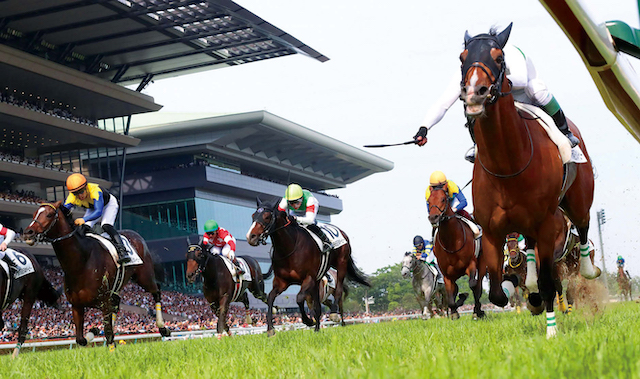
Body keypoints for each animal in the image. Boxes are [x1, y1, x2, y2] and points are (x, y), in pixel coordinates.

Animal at [24, 202, 171, 350]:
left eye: (49, 214)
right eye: (34, 214)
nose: (28, 232)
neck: (81, 263)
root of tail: (136, 235)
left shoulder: (104, 302)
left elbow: (108, 332)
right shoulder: (76, 305)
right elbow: (80, 339)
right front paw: (93, 330)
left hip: (144, 277)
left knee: (156, 291)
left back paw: (163, 327)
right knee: (117, 304)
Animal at [245, 197, 368, 336]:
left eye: (266, 217)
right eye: (253, 216)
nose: (250, 237)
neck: (289, 247)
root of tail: (342, 232)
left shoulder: (308, 278)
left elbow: (299, 299)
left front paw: (308, 321)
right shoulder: (282, 282)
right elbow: (270, 298)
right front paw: (271, 329)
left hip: (341, 263)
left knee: (339, 290)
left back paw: (334, 315)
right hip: (318, 279)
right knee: (318, 305)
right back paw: (318, 328)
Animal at [428, 187, 482, 320]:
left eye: (443, 199)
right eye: (428, 201)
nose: (433, 217)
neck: (451, 242)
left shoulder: (471, 264)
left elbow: (473, 284)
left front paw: (477, 311)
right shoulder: (447, 274)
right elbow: (449, 294)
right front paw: (454, 312)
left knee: (478, 285)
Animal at [460, 24, 600, 338]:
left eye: (499, 57)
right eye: (462, 57)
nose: (474, 92)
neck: (507, 165)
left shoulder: (548, 224)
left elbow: (550, 283)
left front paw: (551, 331)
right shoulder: (492, 231)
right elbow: (498, 292)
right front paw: (529, 297)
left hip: (578, 201)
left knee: (584, 228)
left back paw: (587, 270)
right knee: (531, 253)